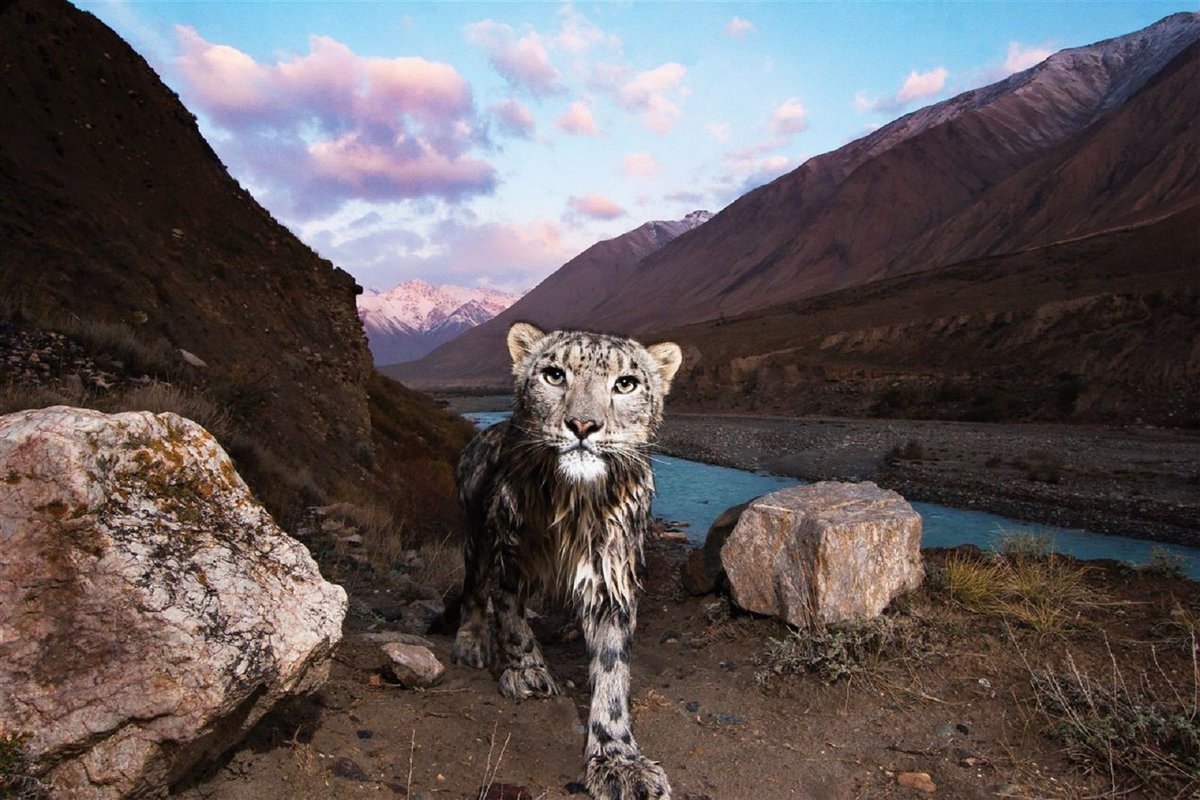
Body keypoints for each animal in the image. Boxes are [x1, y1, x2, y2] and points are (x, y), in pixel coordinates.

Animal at [453, 321, 682, 800]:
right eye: (554, 375)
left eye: (626, 383)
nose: (582, 424)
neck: (574, 507)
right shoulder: (510, 559)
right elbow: (511, 620)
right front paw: (527, 672)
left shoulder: (612, 579)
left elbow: (613, 670)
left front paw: (618, 760)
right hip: (477, 538)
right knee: (473, 590)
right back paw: (471, 643)